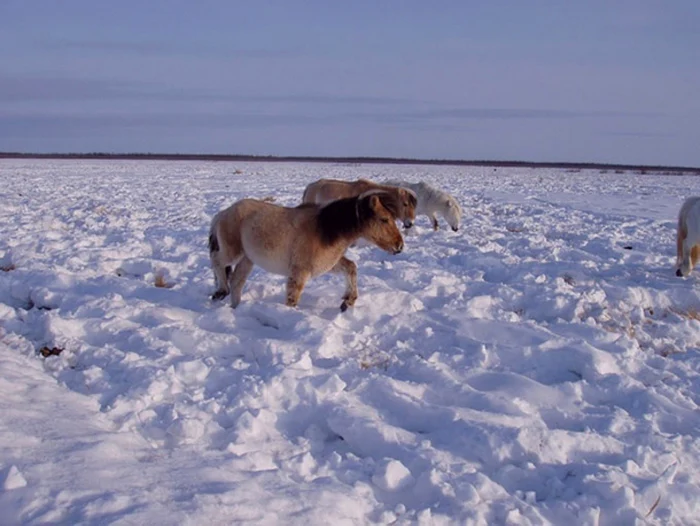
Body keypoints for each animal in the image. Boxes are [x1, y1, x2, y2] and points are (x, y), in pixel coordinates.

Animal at [208, 192, 404, 312]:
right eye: (384, 219)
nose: (399, 246)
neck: (324, 229)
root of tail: (222, 213)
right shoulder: (300, 272)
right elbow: (293, 297)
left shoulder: (328, 264)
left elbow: (351, 267)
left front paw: (347, 301)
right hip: (232, 252)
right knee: (218, 262)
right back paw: (221, 291)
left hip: (247, 259)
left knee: (237, 282)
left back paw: (235, 307)